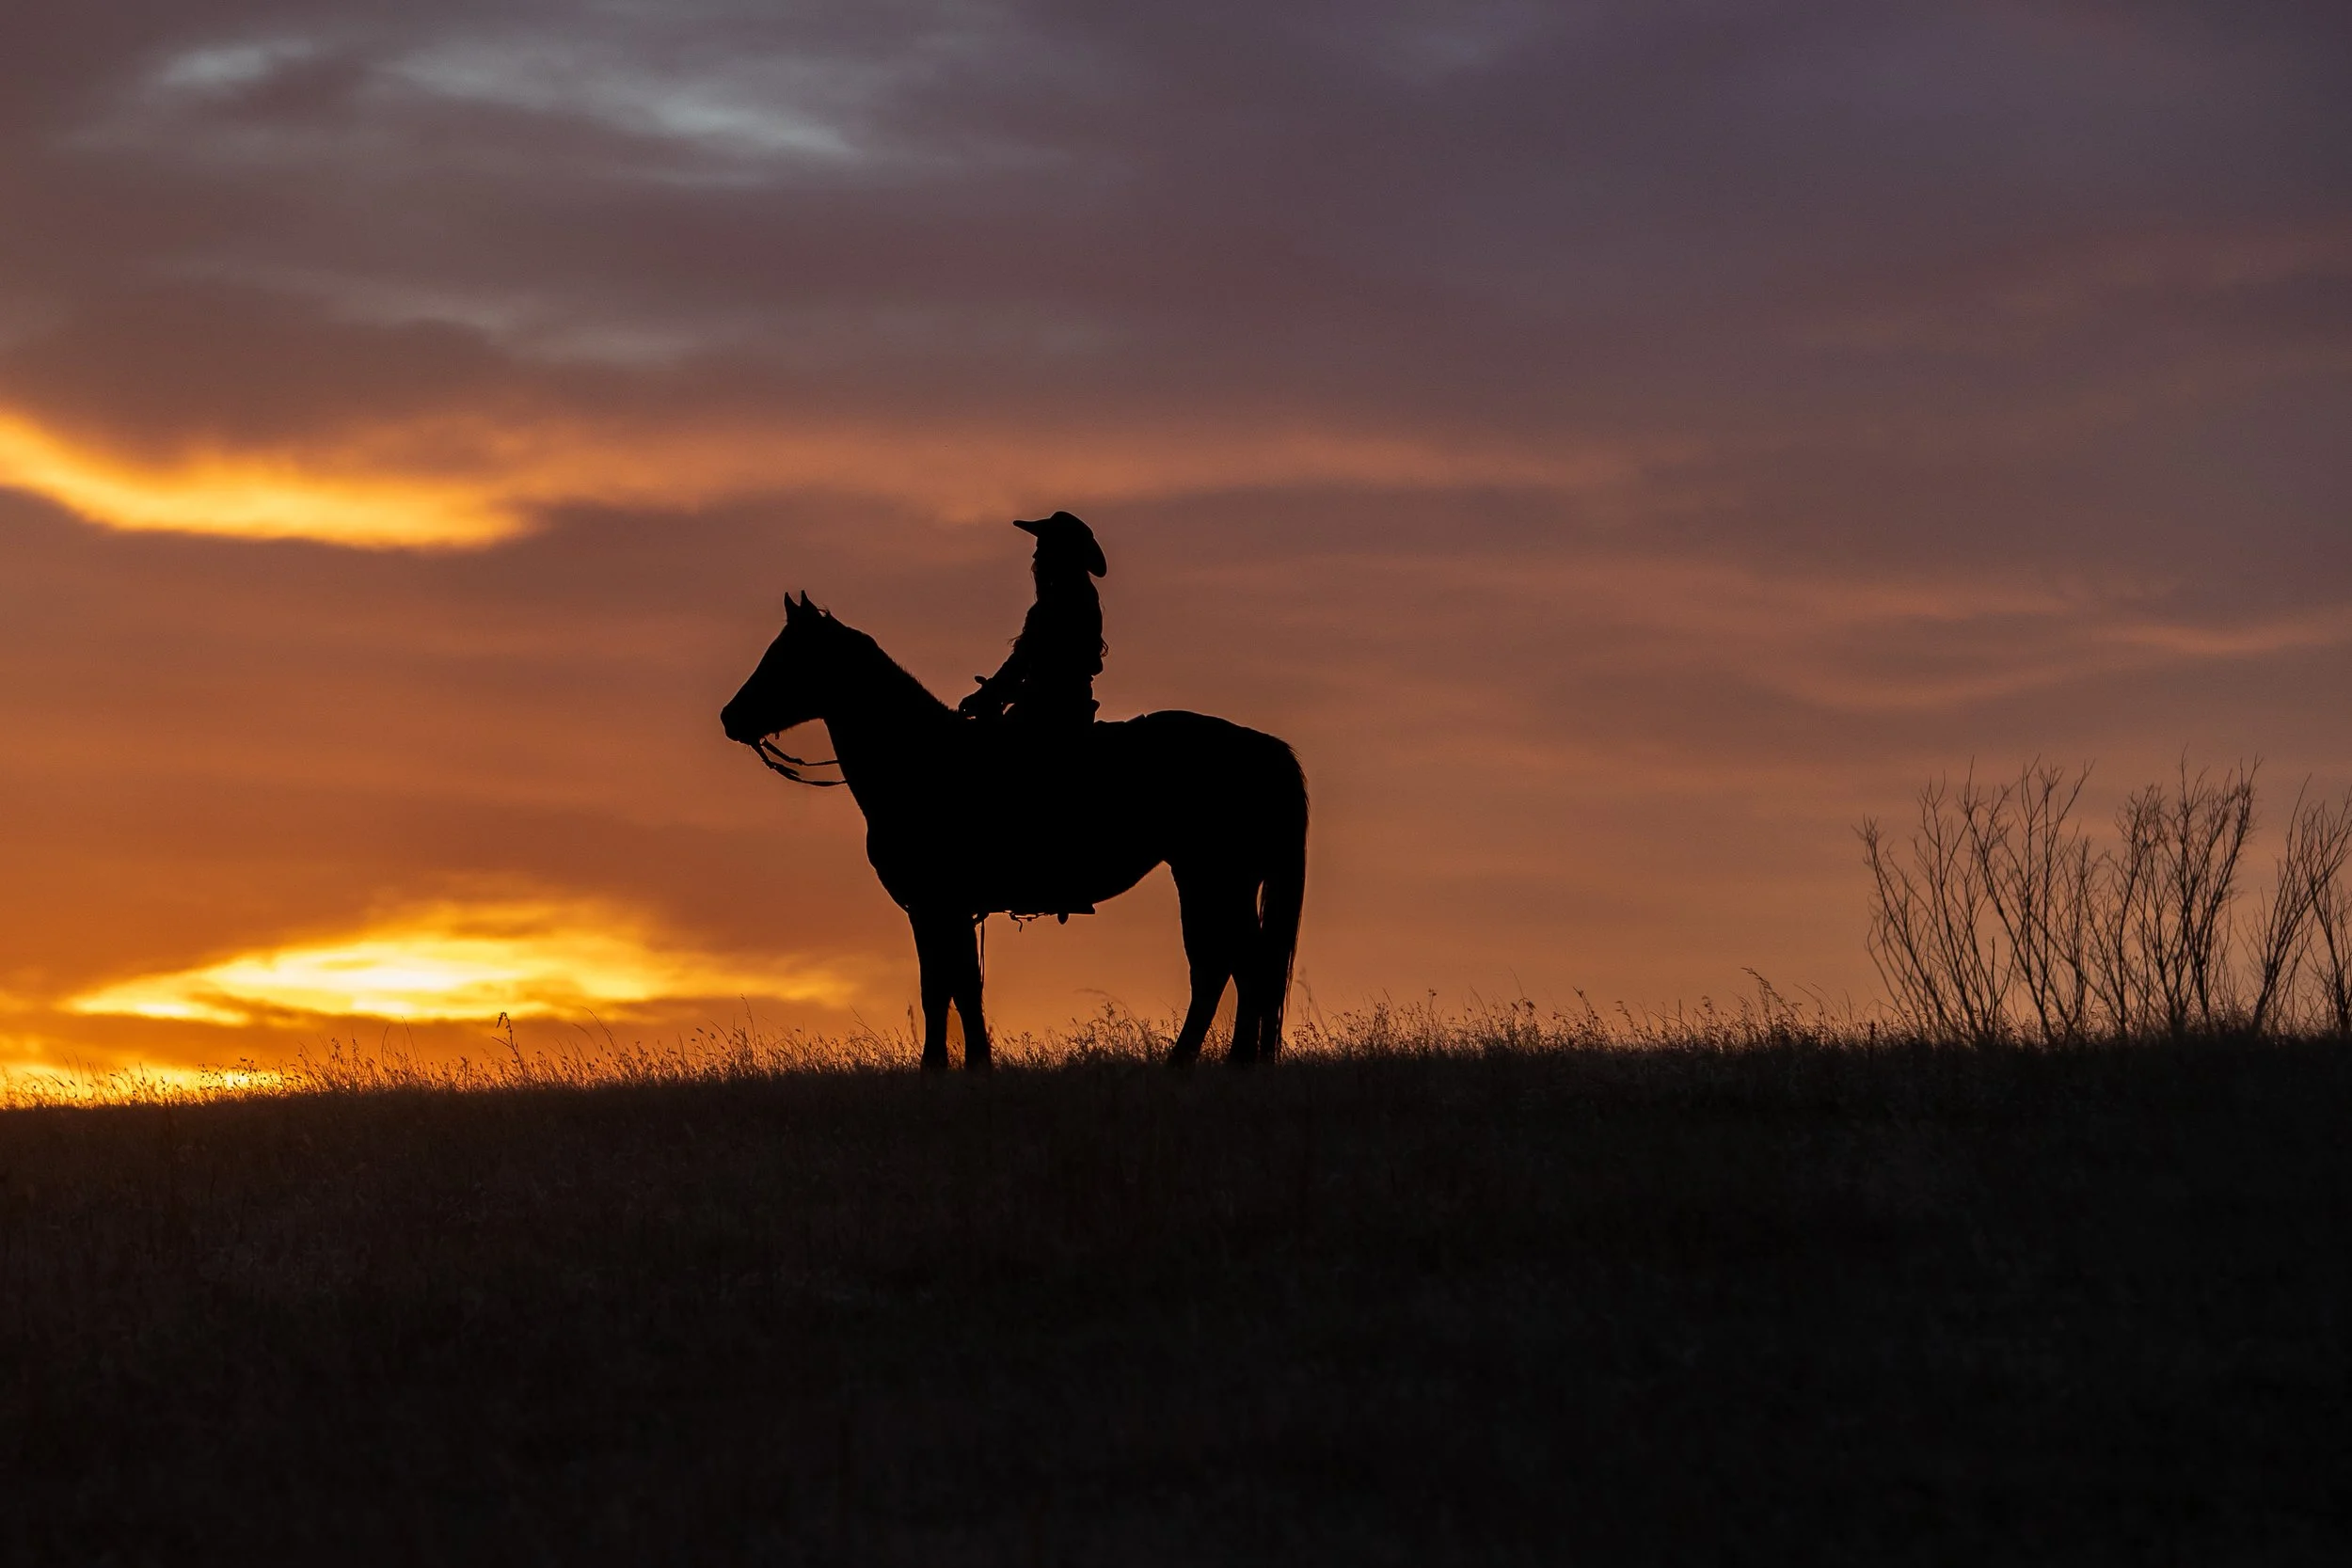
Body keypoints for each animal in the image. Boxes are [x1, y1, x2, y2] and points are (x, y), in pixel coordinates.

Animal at [721, 593, 1308, 1071]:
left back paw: (1224, 1064)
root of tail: (1265, 749)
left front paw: (951, 1067)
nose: (731, 717)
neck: (921, 761)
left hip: (1217, 879)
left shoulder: (939, 904)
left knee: (1238, 966)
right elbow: (952, 986)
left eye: (785, 657)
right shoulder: (939, 908)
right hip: (1208, 880)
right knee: (1223, 967)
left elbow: (948, 986)